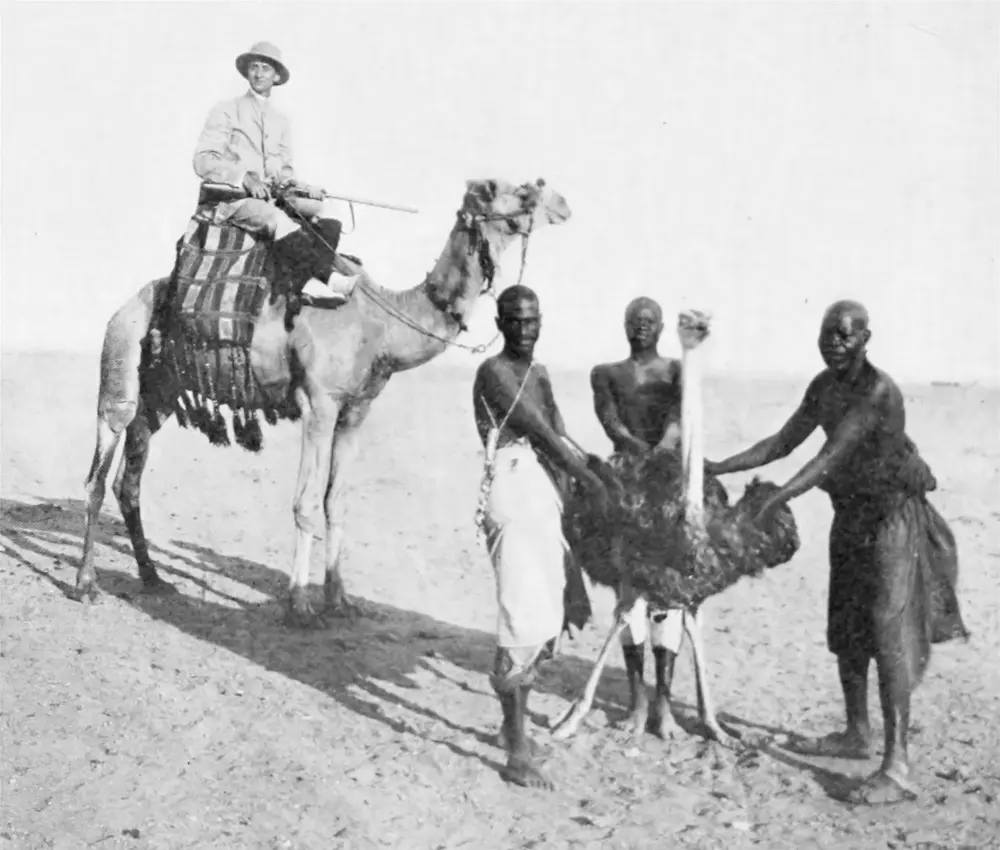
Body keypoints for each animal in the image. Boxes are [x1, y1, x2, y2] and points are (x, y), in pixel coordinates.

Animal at [78, 176, 572, 628]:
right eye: (510, 188)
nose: (561, 202)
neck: (385, 324)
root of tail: (126, 305)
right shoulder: (319, 403)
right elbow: (306, 503)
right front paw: (299, 603)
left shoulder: (356, 411)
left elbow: (337, 501)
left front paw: (341, 599)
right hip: (120, 355)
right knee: (101, 467)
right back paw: (86, 584)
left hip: (160, 391)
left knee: (129, 479)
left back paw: (153, 578)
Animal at [556, 312, 796, 744]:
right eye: (687, 320)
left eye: (703, 319)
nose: (701, 326)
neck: (689, 525)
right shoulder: (632, 578)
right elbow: (620, 623)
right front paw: (570, 719)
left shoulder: (694, 589)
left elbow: (692, 632)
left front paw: (715, 724)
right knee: (632, 626)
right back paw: (636, 716)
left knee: (675, 628)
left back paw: (667, 720)